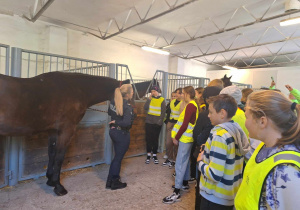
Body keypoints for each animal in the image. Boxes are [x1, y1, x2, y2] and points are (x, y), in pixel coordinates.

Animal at [0, 72, 129, 195]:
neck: (77, 89)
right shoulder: (66, 130)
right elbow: (59, 157)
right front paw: (58, 187)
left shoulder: (53, 131)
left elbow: (52, 153)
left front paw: (50, 180)